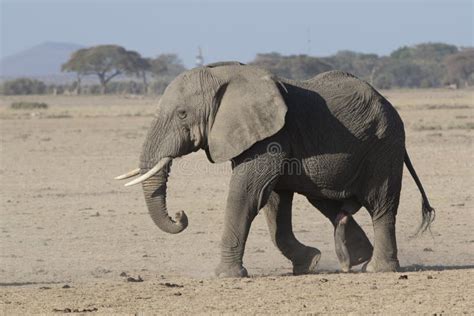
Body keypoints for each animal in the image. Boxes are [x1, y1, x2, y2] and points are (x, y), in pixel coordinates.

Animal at [115, 61, 434, 276]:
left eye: (182, 114)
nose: (181, 215)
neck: (226, 76)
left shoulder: (273, 136)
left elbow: (247, 193)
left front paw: (226, 276)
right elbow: (274, 202)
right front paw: (310, 263)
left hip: (384, 146)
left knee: (381, 204)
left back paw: (379, 269)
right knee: (328, 203)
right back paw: (353, 260)